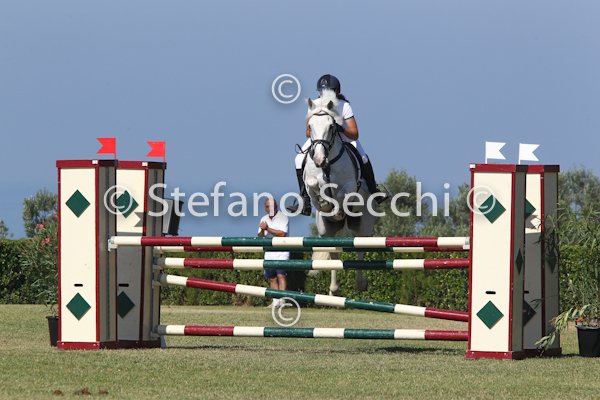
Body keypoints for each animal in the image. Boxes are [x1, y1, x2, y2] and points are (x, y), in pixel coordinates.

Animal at [301, 89, 378, 295]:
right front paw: (325, 203)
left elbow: (343, 195)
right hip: (325, 231)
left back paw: (360, 283)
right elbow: (314, 187)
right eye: (310, 126)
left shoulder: (350, 186)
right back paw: (334, 289)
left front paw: (337, 208)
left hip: (363, 225)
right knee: (334, 251)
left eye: (331, 126)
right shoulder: (310, 183)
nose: (319, 159)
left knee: (360, 247)